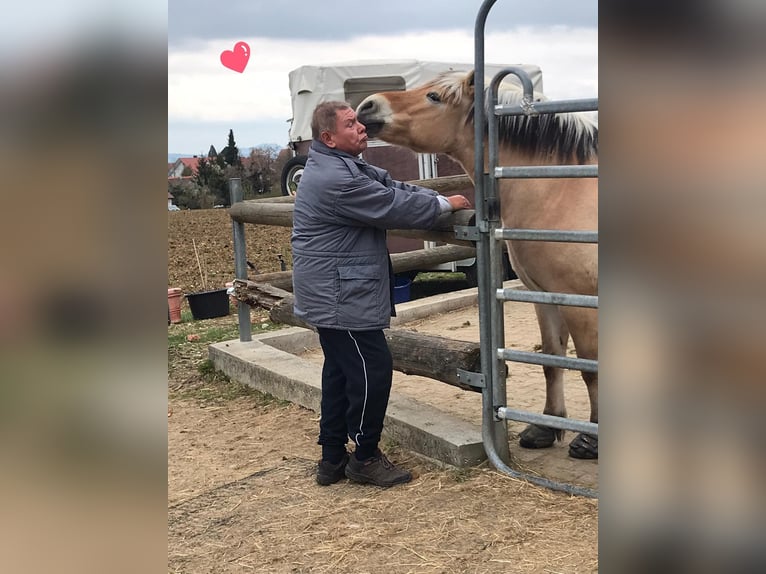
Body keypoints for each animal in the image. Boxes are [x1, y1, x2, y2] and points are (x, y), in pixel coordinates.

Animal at [356, 70, 599, 459]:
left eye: (435, 97)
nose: (367, 105)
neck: (561, 189)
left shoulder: (579, 301)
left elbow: (589, 366)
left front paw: (590, 439)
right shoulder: (543, 295)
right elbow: (552, 359)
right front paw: (545, 428)